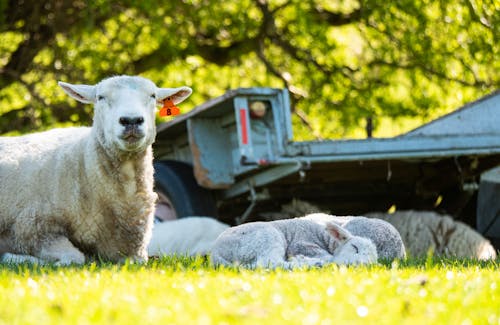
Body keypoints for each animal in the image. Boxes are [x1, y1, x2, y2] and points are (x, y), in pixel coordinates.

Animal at [0, 75, 191, 264]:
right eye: (100, 97)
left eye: (152, 96)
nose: (131, 120)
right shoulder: (31, 228)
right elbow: (75, 257)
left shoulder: (133, 252)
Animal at [209, 218, 376, 268]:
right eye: (354, 247)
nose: (359, 265)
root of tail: (215, 254)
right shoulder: (302, 243)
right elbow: (330, 258)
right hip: (266, 237)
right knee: (268, 262)